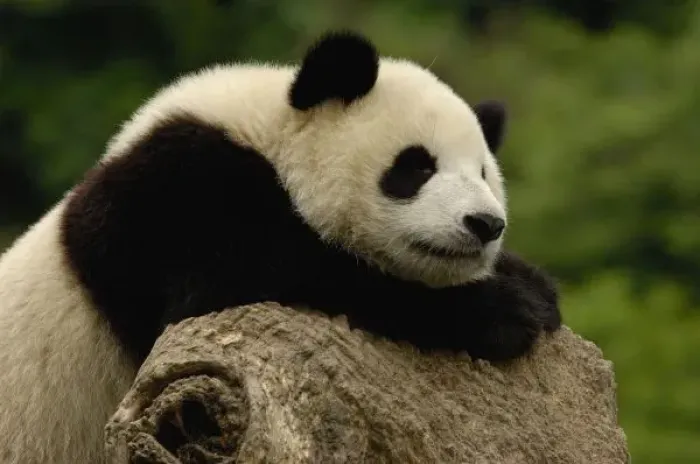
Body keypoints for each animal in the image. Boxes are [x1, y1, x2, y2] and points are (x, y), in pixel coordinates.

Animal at [0, 30, 560, 463]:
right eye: (417, 165)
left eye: (483, 173)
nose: (485, 224)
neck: (268, 131)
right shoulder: (171, 197)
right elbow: (255, 273)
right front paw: (506, 310)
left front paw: (533, 286)